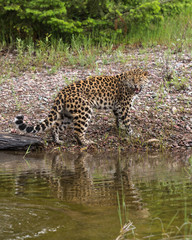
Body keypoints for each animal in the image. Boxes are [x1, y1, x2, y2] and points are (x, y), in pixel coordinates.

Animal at [15, 68, 148, 145]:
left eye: (140, 80)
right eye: (133, 80)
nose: (136, 86)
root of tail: (62, 92)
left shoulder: (117, 106)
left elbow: (118, 118)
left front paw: (119, 128)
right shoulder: (124, 106)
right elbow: (127, 121)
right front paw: (131, 133)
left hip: (67, 114)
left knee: (55, 126)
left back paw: (58, 141)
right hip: (85, 110)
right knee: (77, 131)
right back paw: (86, 142)